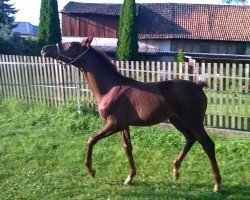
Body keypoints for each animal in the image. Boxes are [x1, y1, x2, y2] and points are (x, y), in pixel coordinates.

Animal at [40, 36, 221, 191]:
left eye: (71, 45)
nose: (44, 49)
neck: (110, 88)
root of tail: (198, 86)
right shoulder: (123, 125)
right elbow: (128, 148)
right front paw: (129, 178)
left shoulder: (113, 123)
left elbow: (91, 139)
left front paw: (91, 171)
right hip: (177, 120)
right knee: (190, 139)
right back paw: (175, 172)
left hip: (193, 121)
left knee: (207, 144)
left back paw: (217, 184)